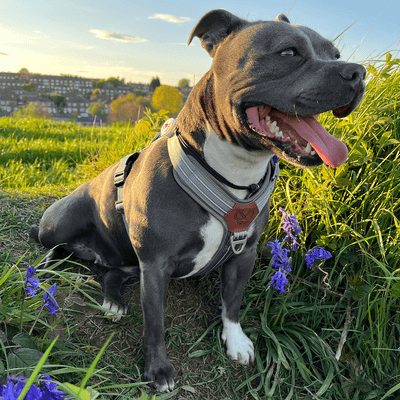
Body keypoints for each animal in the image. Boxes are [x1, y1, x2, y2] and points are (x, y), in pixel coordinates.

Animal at [29, 10, 368, 394]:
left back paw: (114, 301)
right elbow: (156, 324)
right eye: (288, 52)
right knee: (54, 247)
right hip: (61, 222)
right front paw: (157, 369)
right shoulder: (155, 266)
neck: (230, 173)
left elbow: (232, 303)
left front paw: (235, 341)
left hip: (130, 265)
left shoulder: (243, 254)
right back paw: (51, 270)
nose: (358, 73)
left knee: (110, 272)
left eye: (336, 54)